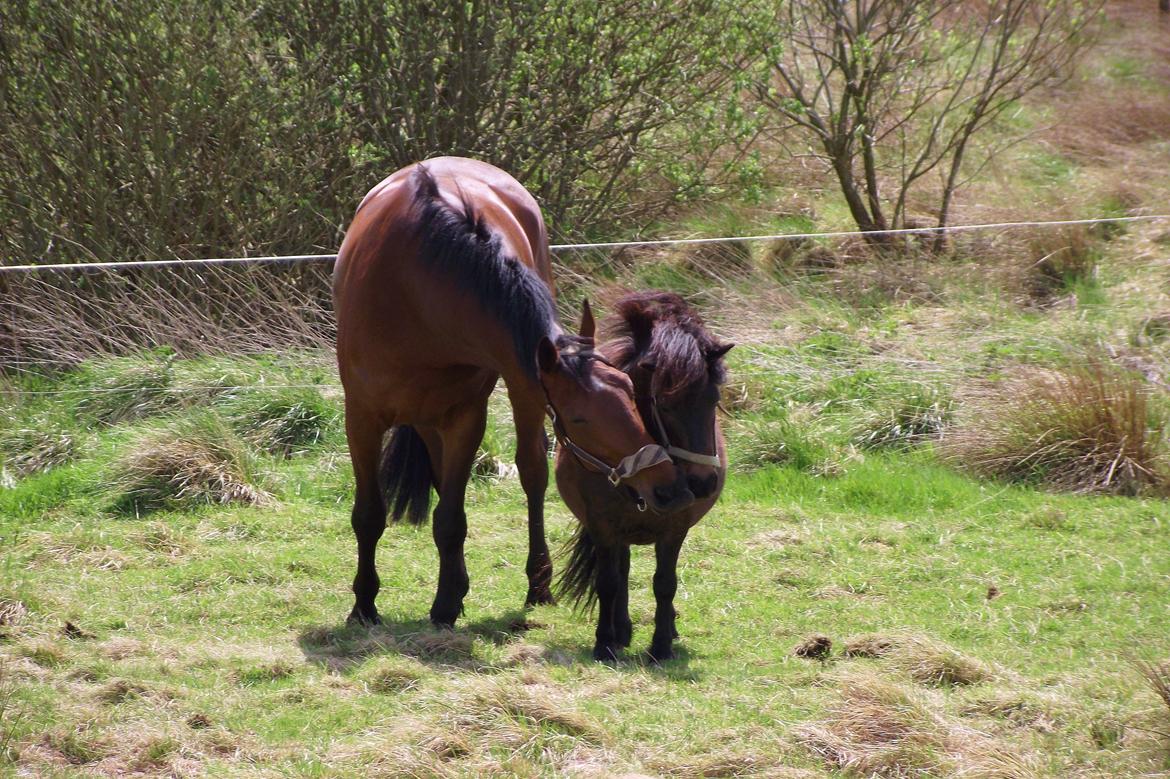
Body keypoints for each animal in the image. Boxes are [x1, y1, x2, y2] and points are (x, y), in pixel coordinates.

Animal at [332, 157, 692, 626]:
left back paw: (536, 583)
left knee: (532, 472)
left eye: (632, 394)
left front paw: (445, 604)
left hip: (520, 388)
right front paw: (364, 604)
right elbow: (370, 515)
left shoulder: (466, 416)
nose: (669, 488)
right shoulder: (361, 418)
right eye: (580, 418)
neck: (416, 291)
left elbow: (451, 518)